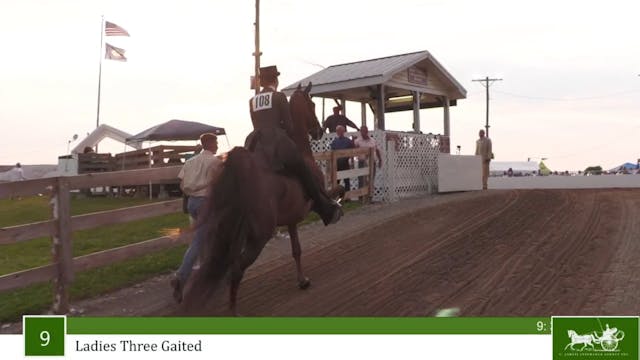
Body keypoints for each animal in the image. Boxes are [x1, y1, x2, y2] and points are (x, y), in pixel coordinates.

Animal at [180, 82, 340, 316]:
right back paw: (233, 311)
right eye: (311, 105)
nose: (319, 131)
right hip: (257, 238)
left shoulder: (292, 219)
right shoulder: (312, 199)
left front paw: (302, 280)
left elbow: (296, 250)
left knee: (225, 267)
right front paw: (335, 208)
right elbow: (328, 196)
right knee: (236, 269)